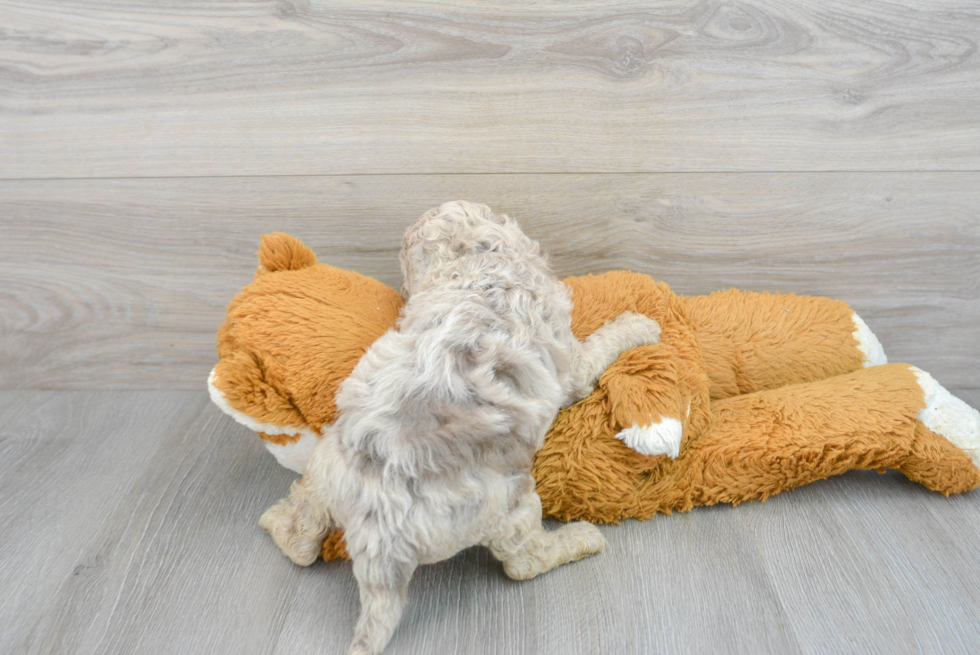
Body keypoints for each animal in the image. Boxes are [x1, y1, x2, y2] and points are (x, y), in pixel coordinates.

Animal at [260, 201, 664, 655]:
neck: (474, 263)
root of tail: (378, 536)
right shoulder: (571, 362)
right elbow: (599, 347)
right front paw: (640, 325)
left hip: (326, 465)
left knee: (303, 538)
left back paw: (276, 521)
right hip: (507, 503)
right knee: (523, 560)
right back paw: (580, 540)